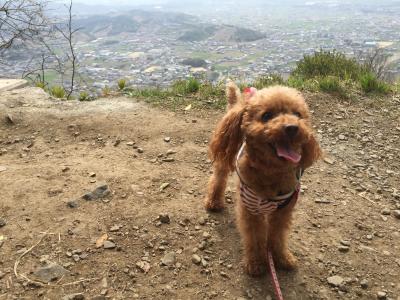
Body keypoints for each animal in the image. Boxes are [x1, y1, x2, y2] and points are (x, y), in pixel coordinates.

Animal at [205, 82, 320, 276]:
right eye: (267, 115)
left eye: (298, 115)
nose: (292, 127)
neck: (271, 172)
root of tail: (239, 103)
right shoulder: (251, 210)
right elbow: (255, 237)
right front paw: (256, 263)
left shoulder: (284, 210)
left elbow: (278, 236)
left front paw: (282, 258)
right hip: (225, 158)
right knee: (218, 178)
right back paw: (213, 202)